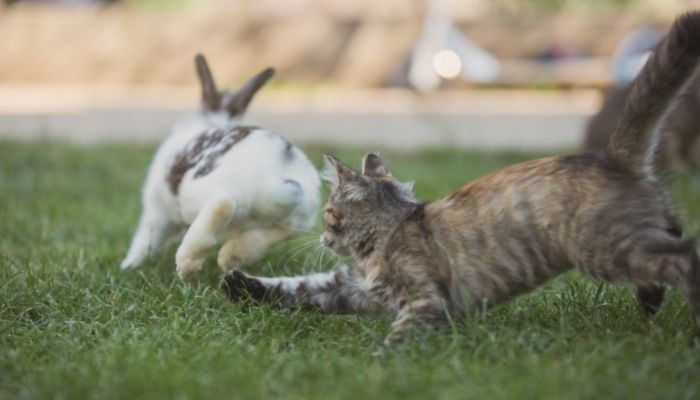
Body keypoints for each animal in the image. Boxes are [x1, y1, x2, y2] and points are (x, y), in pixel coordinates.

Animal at [122, 54, 320, 280]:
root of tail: (275, 176)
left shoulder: (156, 208)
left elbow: (145, 238)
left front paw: (129, 265)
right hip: (294, 218)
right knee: (281, 229)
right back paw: (230, 258)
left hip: (195, 195)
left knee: (222, 204)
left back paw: (188, 264)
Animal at [221, 12, 700, 344]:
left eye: (328, 214)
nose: (320, 236)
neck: (388, 237)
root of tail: (610, 156)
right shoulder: (348, 289)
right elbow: (295, 288)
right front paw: (237, 285)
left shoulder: (424, 299)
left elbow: (399, 337)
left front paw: (384, 361)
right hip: (633, 234)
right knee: (675, 231)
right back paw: (651, 301)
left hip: (604, 247)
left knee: (684, 256)